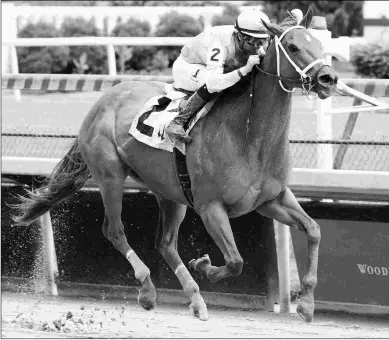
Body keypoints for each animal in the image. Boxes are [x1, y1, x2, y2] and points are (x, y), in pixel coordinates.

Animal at [14, 7, 336, 322]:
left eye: (320, 45)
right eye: (293, 47)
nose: (328, 78)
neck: (249, 138)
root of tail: (102, 101)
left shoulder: (271, 199)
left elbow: (314, 230)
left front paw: (307, 304)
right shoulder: (210, 207)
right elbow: (235, 261)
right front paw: (204, 265)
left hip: (171, 193)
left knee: (165, 243)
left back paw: (196, 299)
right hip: (110, 176)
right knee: (114, 230)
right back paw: (147, 290)